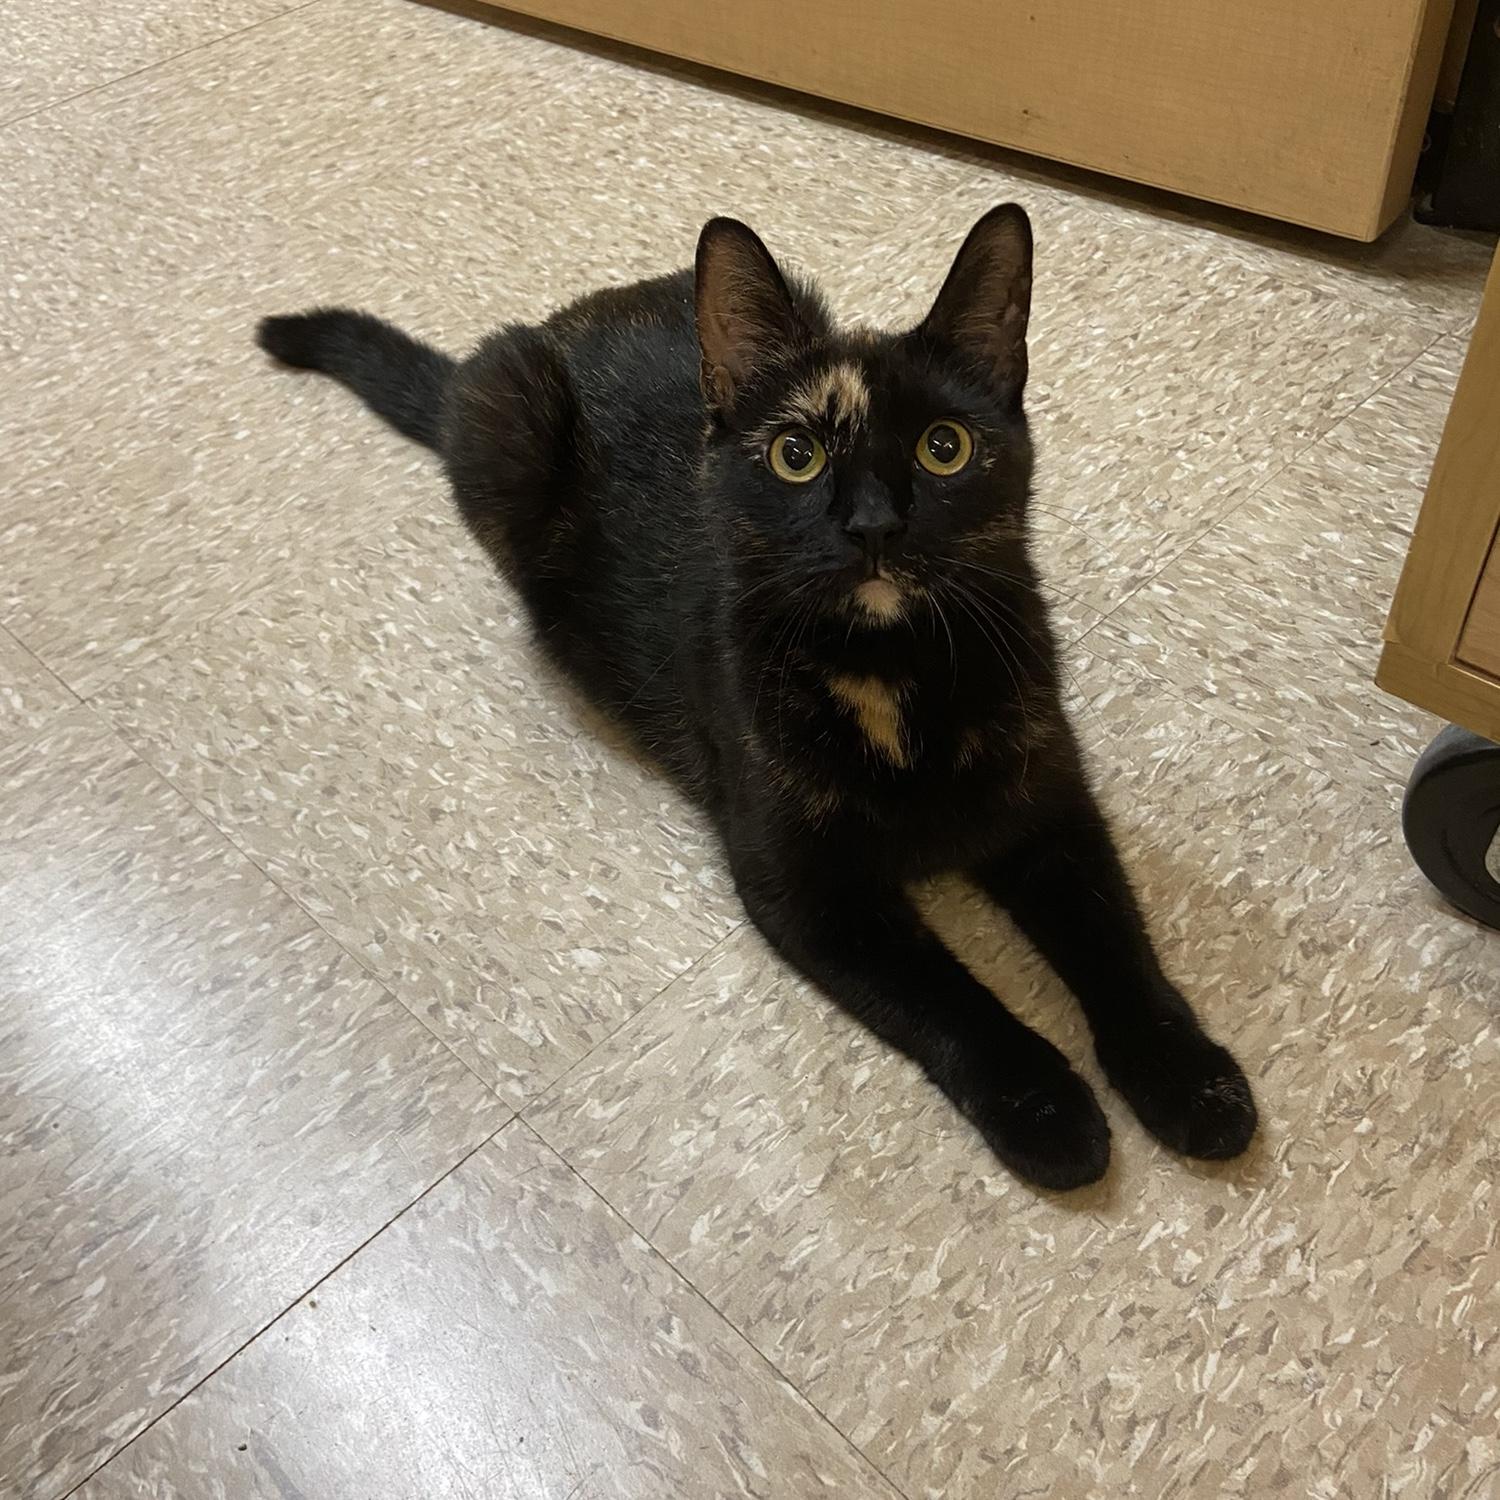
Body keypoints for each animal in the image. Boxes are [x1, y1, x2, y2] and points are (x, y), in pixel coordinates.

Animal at [257, 204, 1257, 1190]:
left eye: (945, 448)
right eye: (794, 455)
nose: (872, 524)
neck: (890, 670)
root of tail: (569, 318)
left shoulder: (1050, 810)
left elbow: (1117, 942)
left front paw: (1190, 1080)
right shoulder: (806, 885)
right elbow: (947, 995)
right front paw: (1045, 1107)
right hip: (506, 412)